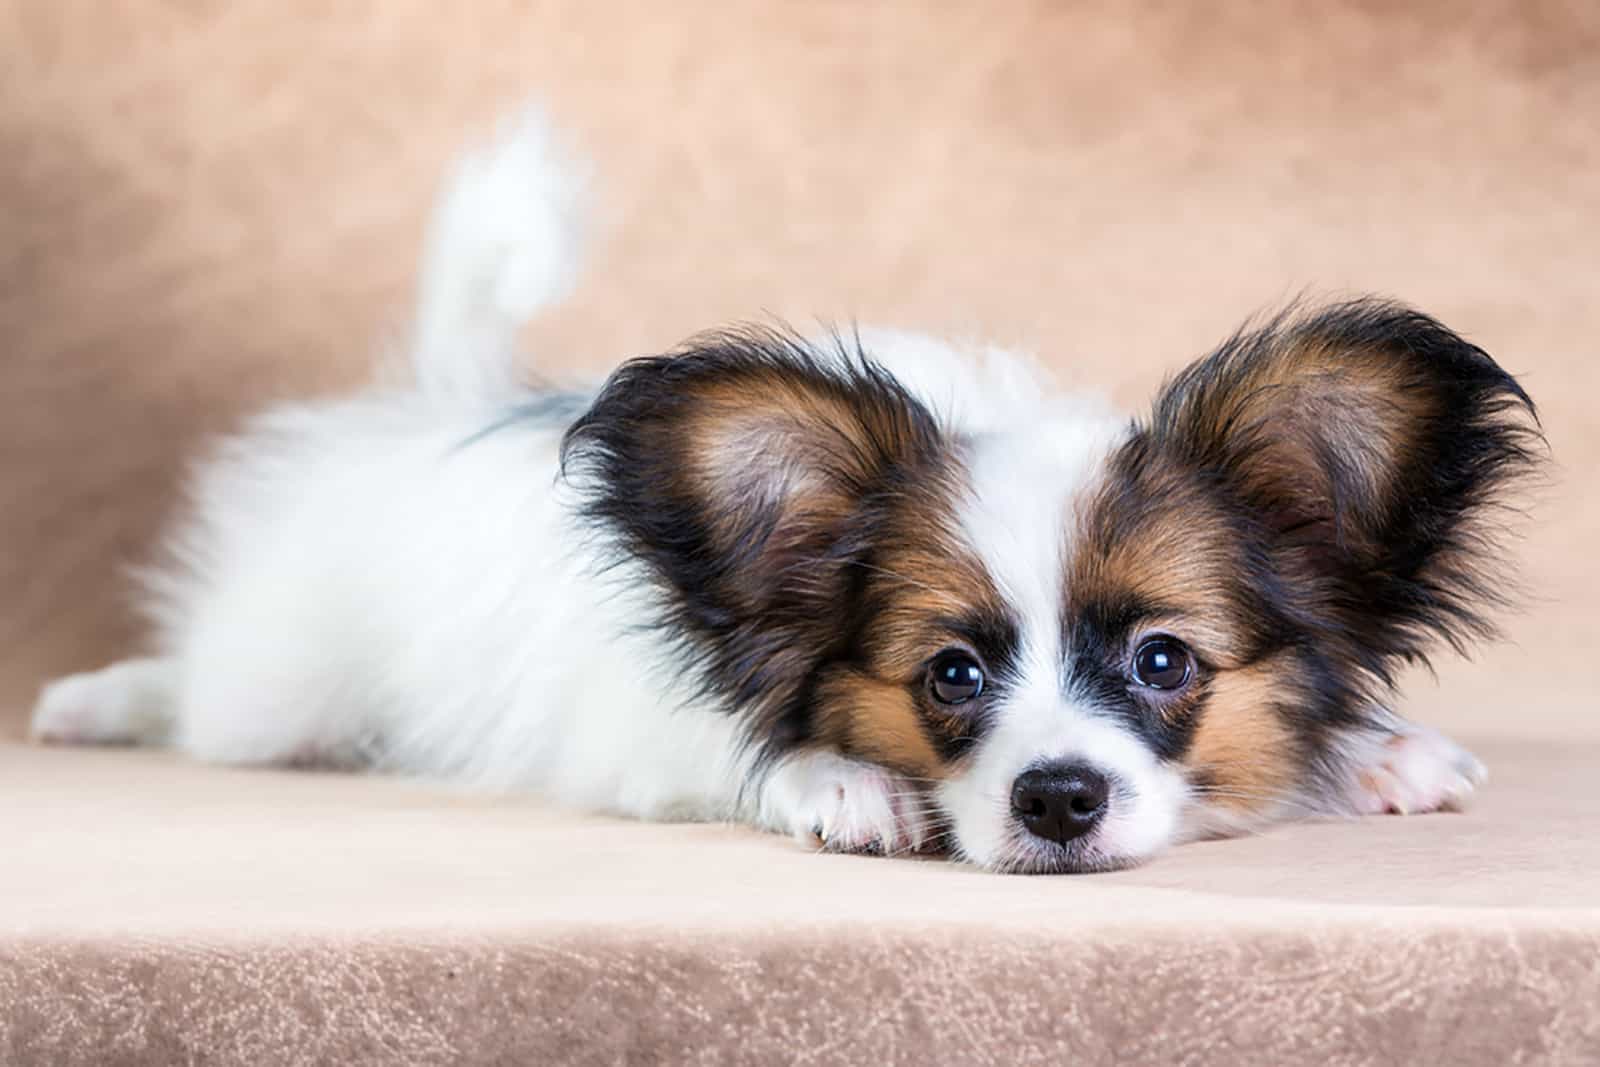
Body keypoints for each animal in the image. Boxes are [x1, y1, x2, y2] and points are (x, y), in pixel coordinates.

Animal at [31, 108, 1542, 876]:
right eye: (950, 674)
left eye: (1165, 659)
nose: (1057, 797)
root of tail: (442, 401)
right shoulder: (641, 728)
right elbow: (743, 750)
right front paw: (838, 781)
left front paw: (1376, 749)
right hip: (274, 685)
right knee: (198, 687)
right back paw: (90, 702)